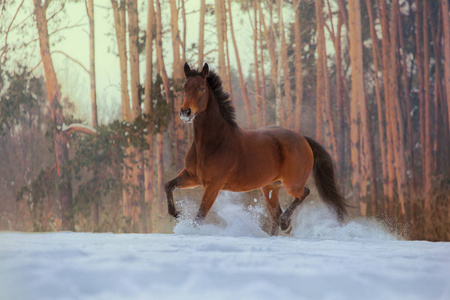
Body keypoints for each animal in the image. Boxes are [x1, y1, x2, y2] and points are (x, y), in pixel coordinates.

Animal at [164, 63, 348, 236]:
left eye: (202, 88)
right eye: (184, 87)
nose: (185, 112)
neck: (211, 143)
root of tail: (302, 138)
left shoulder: (213, 185)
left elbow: (200, 215)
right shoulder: (192, 177)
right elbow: (168, 185)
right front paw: (176, 213)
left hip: (292, 184)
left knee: (302, 195)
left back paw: (285, 222)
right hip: (270, 187)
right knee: (275, 217)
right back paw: (283, 228)